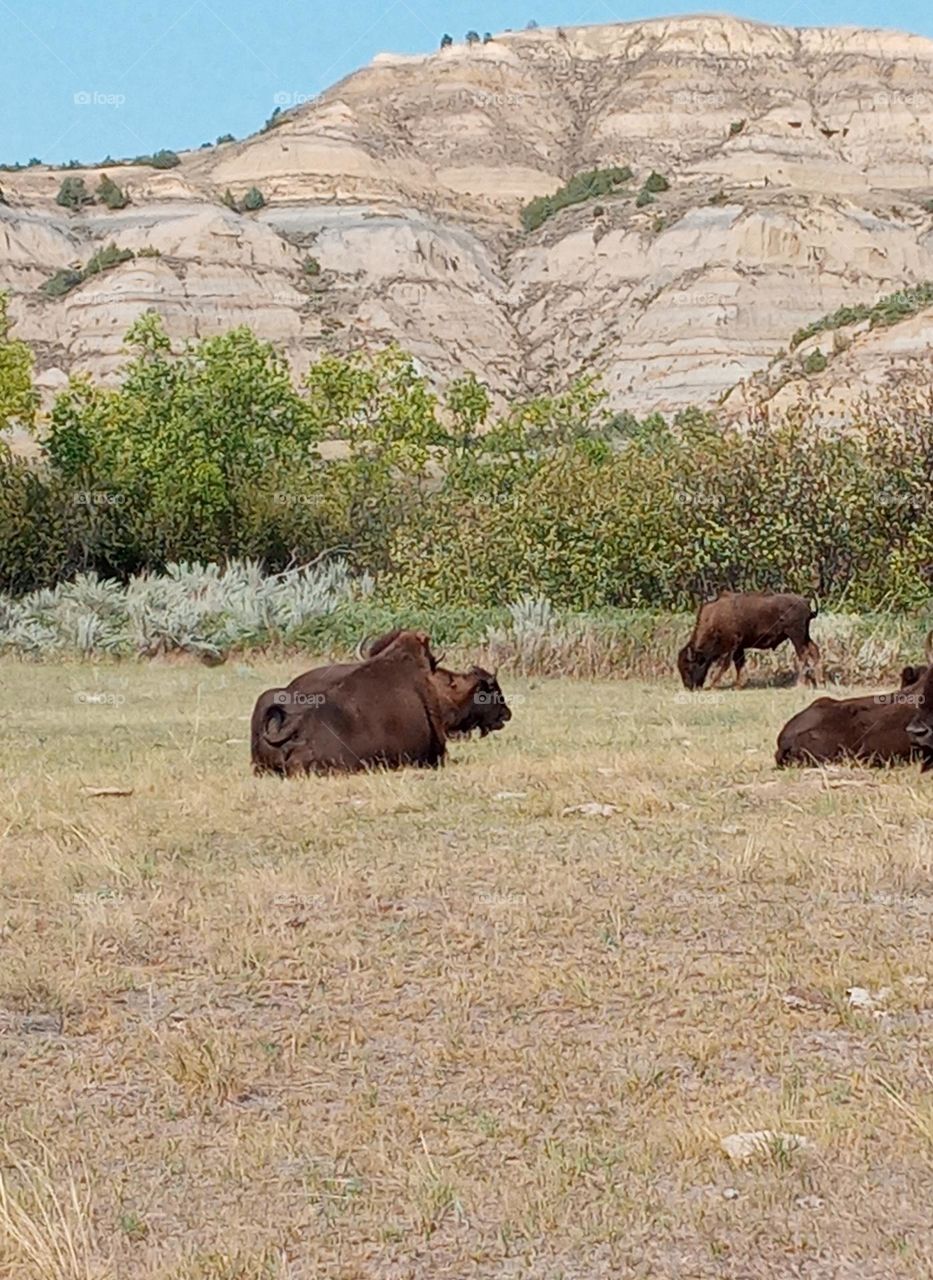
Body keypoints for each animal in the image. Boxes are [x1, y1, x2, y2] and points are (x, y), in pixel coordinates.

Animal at [678, 590, 821, 690]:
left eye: (688, 667)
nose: (689, 687)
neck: (715, 618)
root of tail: (805, 601)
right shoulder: (739, 648)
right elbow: (739, 664)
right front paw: (739, 685)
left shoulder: (733, 645)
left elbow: (726, 665)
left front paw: (713, 685)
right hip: (804, 636)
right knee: (814, 651)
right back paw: (818, 682)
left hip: (796, 635)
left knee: (803, 654)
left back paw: (801, 683)